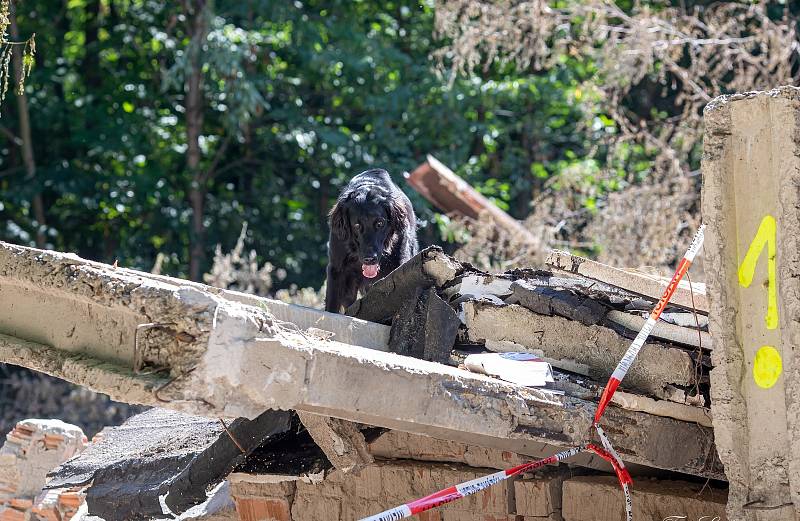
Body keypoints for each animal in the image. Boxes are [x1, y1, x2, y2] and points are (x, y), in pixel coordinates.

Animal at [324, 169, 418, 310]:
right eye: (357, 225)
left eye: (380, 223)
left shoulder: (399, 262)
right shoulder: (336, 269)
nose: (369, 258)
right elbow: (331, 306)